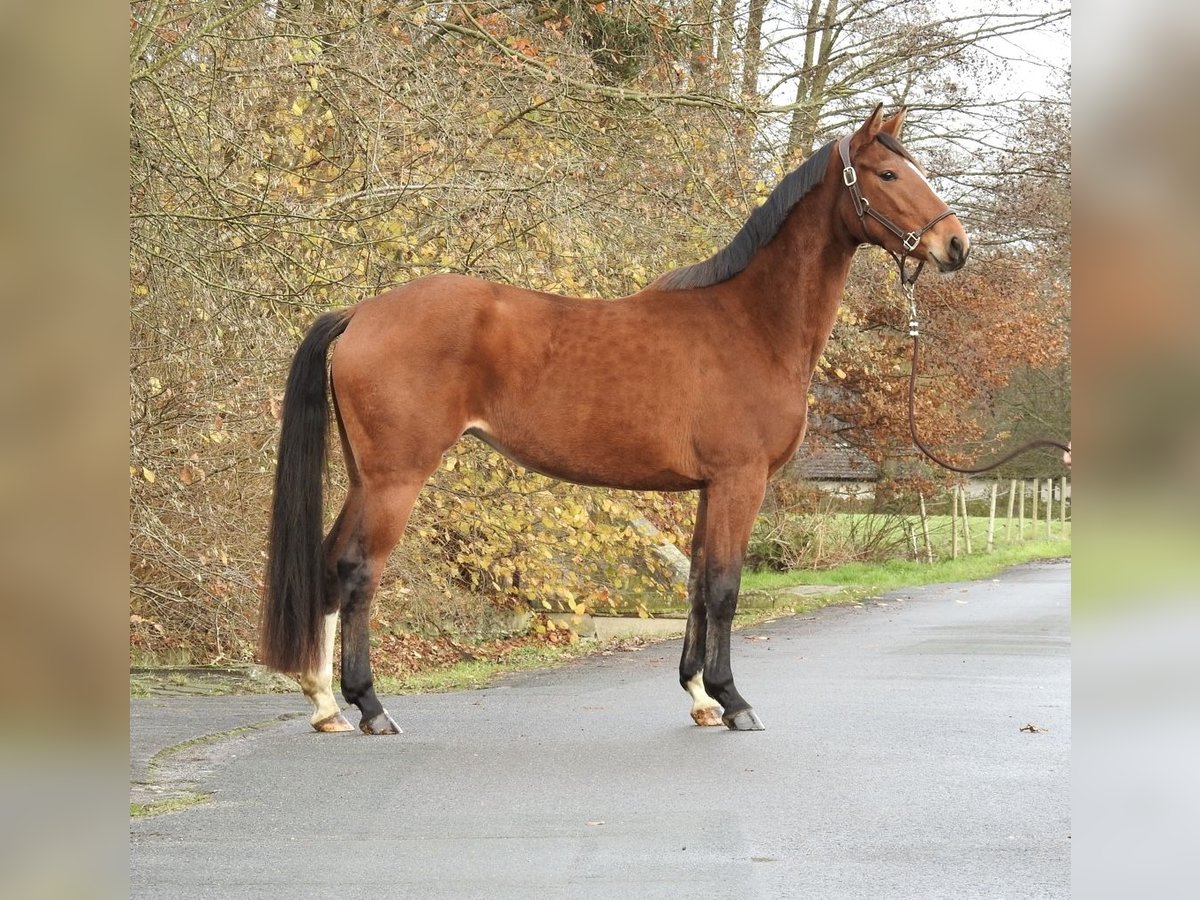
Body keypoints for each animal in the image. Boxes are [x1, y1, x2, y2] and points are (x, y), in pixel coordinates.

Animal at [260, 107, 964, 739]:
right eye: (887, 173)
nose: (954, 244)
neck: (751, 323)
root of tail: (360, 313)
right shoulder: (740, 480)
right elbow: (724, 589)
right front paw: (734, 700)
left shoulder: (709, 488)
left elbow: (697, 584)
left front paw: (699, 697)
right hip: (396, 480)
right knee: (358, 571)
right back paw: (370, 707)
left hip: (365, 477)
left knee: (329, 566)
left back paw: (325, 705)